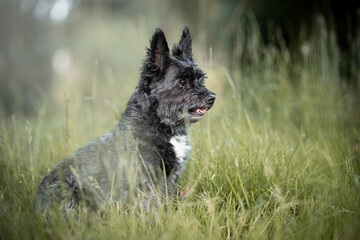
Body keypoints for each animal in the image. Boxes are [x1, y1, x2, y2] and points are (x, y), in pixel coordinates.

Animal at [35, 26, 217, 214]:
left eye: (200, 79)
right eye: (182, 81)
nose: (212, 98)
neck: (158, 122)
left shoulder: (171, 177)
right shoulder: (146, 178)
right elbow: (152, 206)